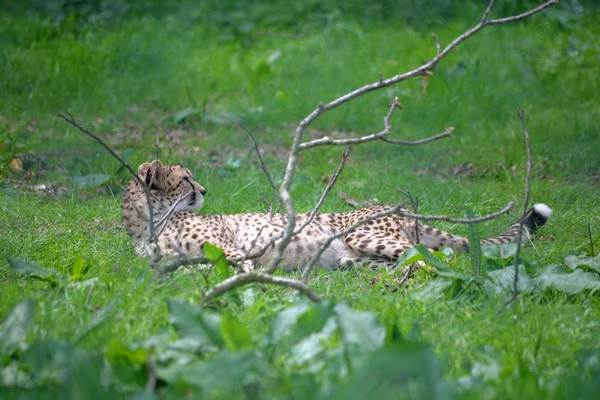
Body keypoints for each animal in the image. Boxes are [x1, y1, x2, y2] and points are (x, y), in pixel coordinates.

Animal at [122, 161, 552, 270]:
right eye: (185, 178)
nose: (205, 191)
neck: (150, 221)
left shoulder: (229, 248)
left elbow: (235, 265)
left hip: (360, 234)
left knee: (433, 256)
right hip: (359, 250)